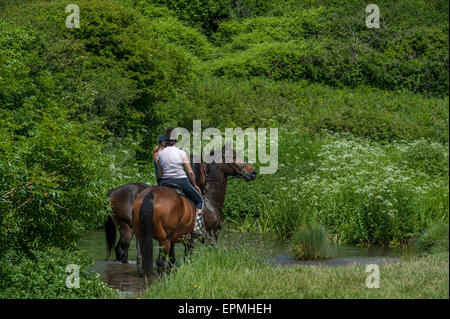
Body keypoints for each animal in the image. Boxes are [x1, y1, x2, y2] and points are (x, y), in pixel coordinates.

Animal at [132, 146, 256, 282]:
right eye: (233, 156)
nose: (253, 172)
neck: (210, 198)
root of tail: (150, 195)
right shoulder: (206, 234)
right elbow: (191, 258)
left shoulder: (178, 239)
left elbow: (173, 261)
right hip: (164, 240)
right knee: (160, 262)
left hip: (143, 236)